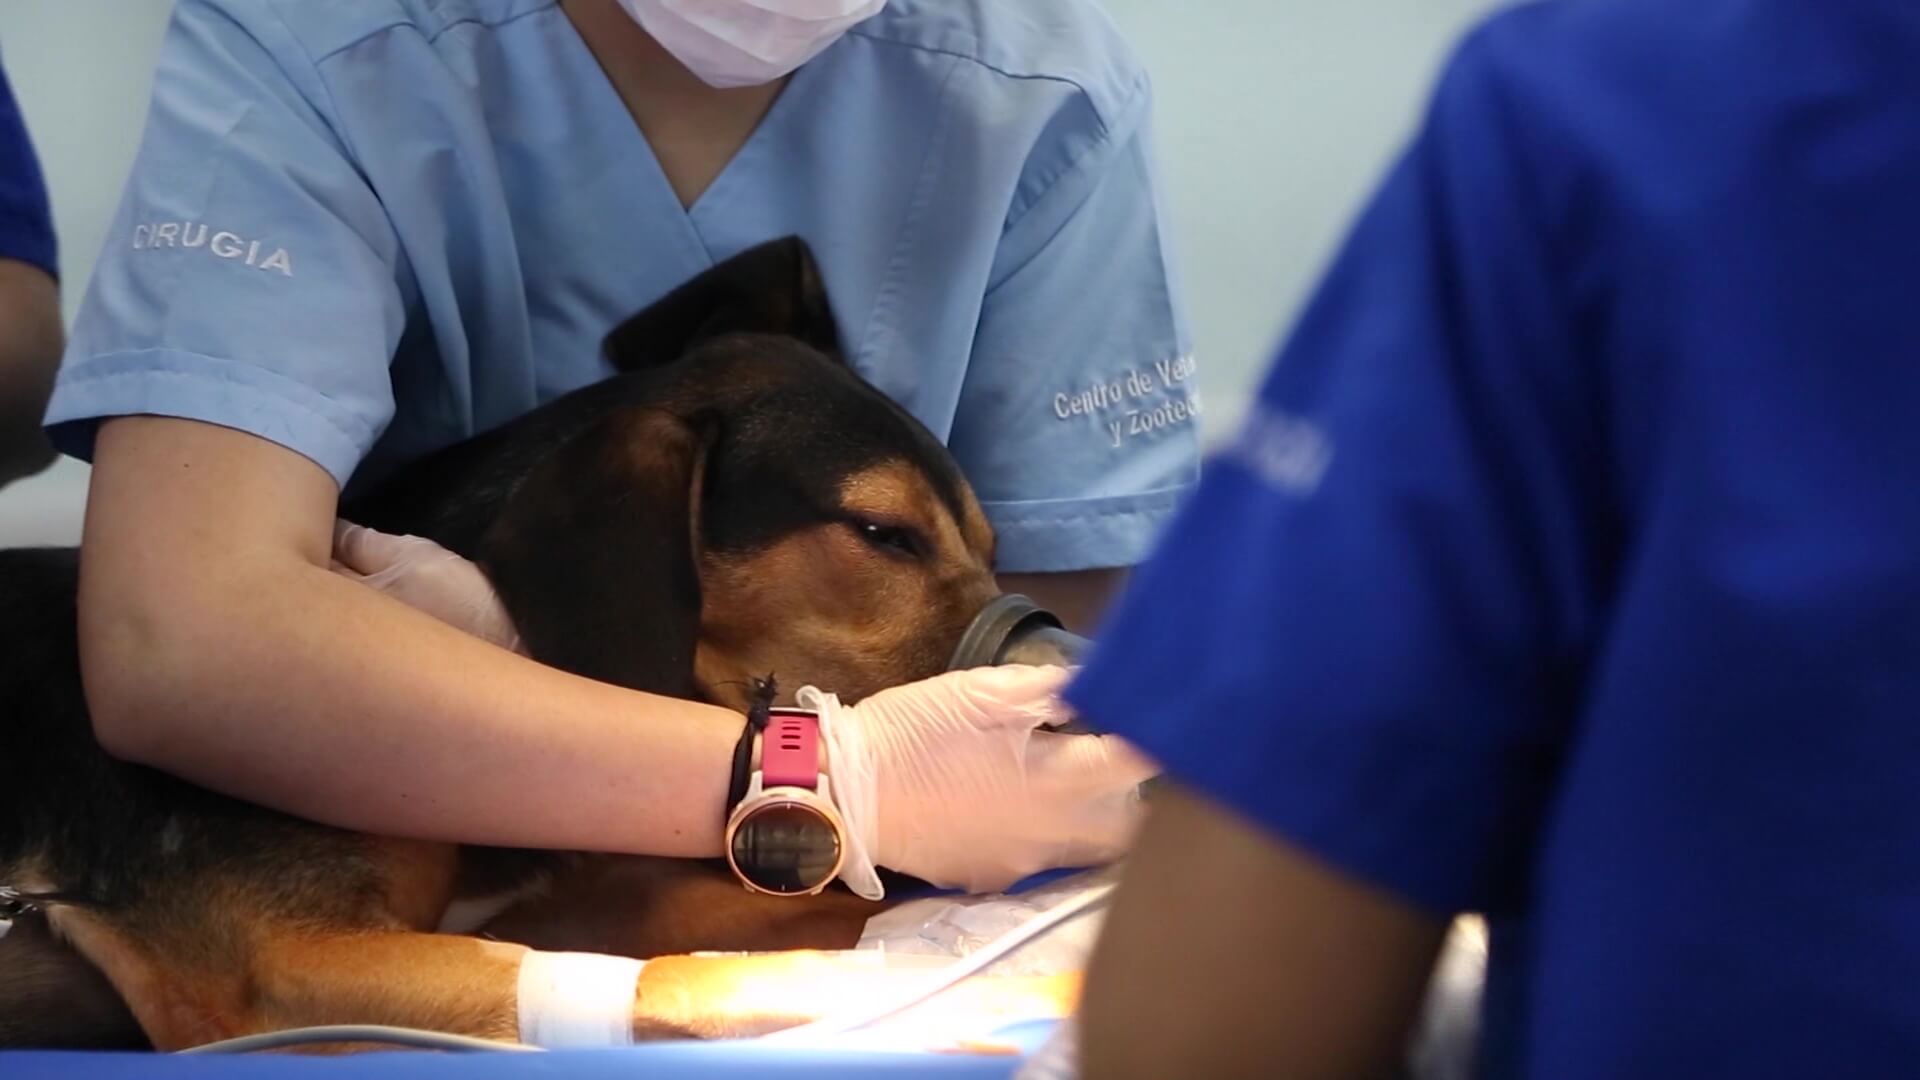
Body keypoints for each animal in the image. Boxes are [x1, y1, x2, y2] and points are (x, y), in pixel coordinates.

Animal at [0, 237, 1029, 1053]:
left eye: (991, 547)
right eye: (884, 534)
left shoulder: (592, 894)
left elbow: (812, 906)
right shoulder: (283, 964)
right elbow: (675, 974)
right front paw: (873, 982)